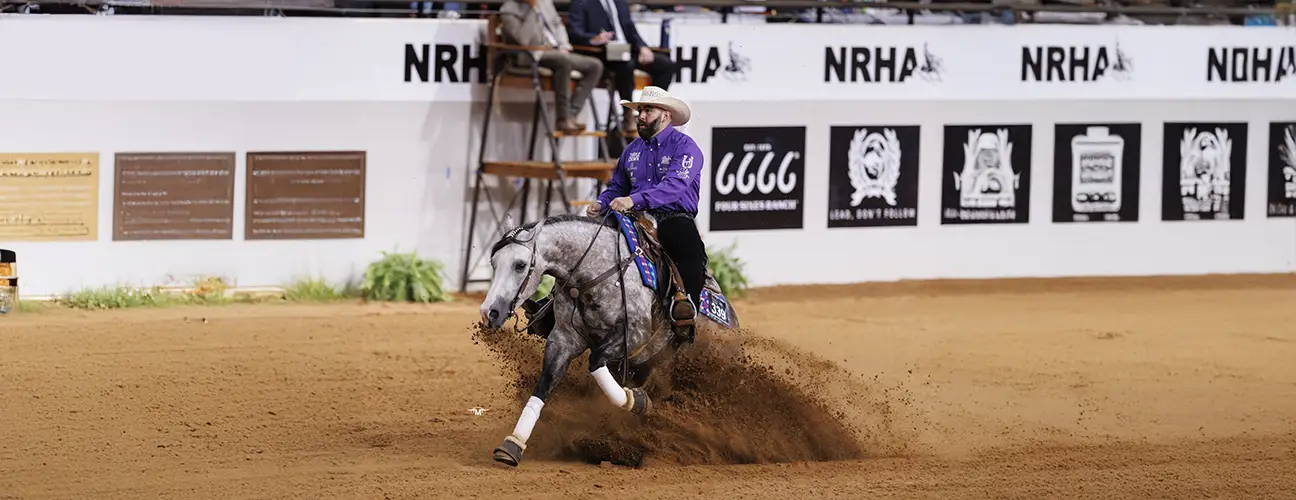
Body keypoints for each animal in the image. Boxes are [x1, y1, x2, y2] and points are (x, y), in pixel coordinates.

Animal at [477, 210, 741, 467]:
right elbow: (544, 384)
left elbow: (596, 361)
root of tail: (733, 322)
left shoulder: (635, 335)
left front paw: (636, 401)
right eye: (493, 262)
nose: (490, 312)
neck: (595, 272)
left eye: (520, 265)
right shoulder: (563, 340)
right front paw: (513, 444)